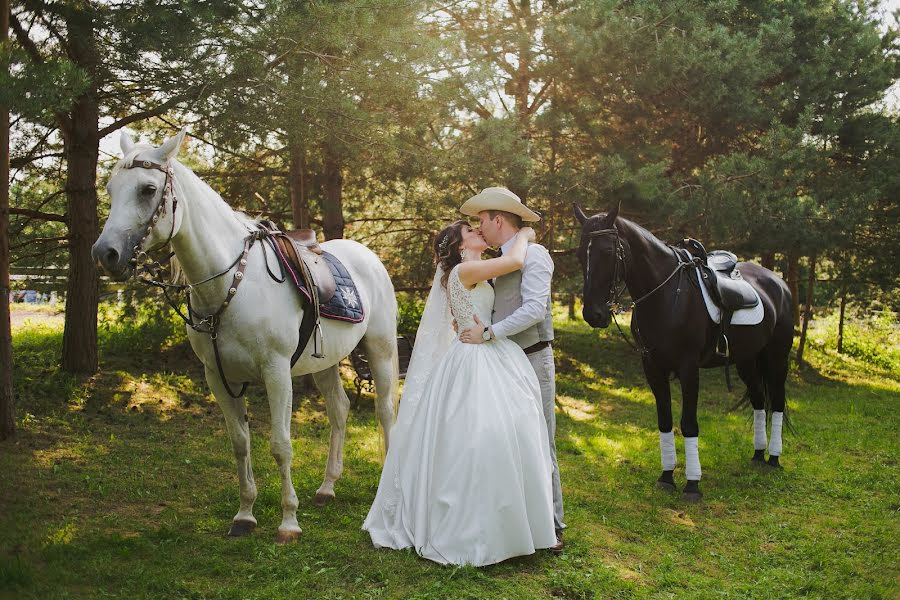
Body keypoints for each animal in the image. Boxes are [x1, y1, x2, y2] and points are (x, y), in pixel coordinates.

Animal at [93, 131, 400, 544]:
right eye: (111, 189)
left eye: (148, 189)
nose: (105, 253)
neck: (231, 283)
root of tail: (369, 256)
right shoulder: (218, 378)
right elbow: (240, 444)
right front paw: (245, 514)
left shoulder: (276, 372)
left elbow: (281, 445)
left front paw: (288, 522)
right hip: (325, 362)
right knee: (339, 409)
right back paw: (326, 488)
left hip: (380, 351)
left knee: (384, 411)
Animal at [572, 204, 792, 500]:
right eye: (579, 253)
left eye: (607, 251)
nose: (593, 314)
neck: (666, 296)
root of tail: (780, 284)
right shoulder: (652, 367)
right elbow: (665, 420)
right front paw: (666, 476)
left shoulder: (689, 369)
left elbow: (688, 423)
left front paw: (692, 484)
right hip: (747, 360)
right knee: (758, 399)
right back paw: (758, 455)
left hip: (777, 358)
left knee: (777, 402)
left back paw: (774, 458)